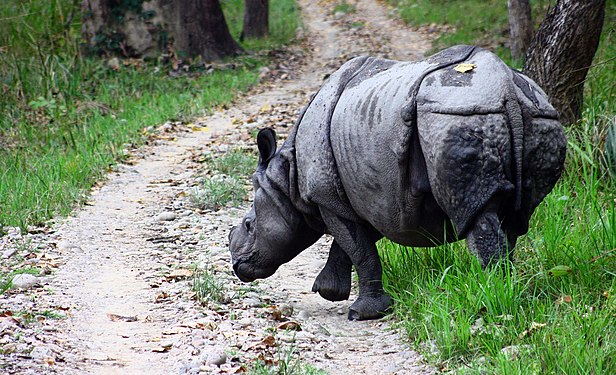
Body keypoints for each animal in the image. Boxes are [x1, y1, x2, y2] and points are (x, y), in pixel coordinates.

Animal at [230, 44, 568, 320]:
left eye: (249, 225)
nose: (237, 265)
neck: (287, 177)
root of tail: (505, 88)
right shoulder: (376, 198)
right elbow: (353, 243)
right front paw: (329, 291)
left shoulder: (328, 197)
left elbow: (358, 248)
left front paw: (360, 312)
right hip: (539, 118)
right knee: (514, 216)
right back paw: (509, 289)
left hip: (454, 116)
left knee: (478, 214)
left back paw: (492, 296)